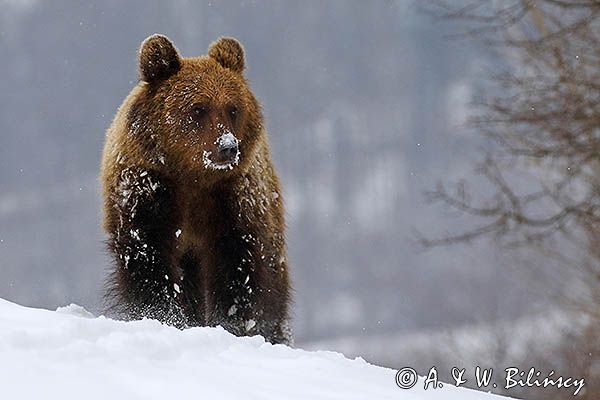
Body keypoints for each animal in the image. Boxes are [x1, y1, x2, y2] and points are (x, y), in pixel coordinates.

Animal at [100, 34, 290, 344]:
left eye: (232, 108)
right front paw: (163, 314)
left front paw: (234, 323)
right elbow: (148, 257)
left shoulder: (233, 199)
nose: (228, 147)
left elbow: (239, 269)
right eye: (198, 108)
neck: (192, 177)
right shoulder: (149, 191)